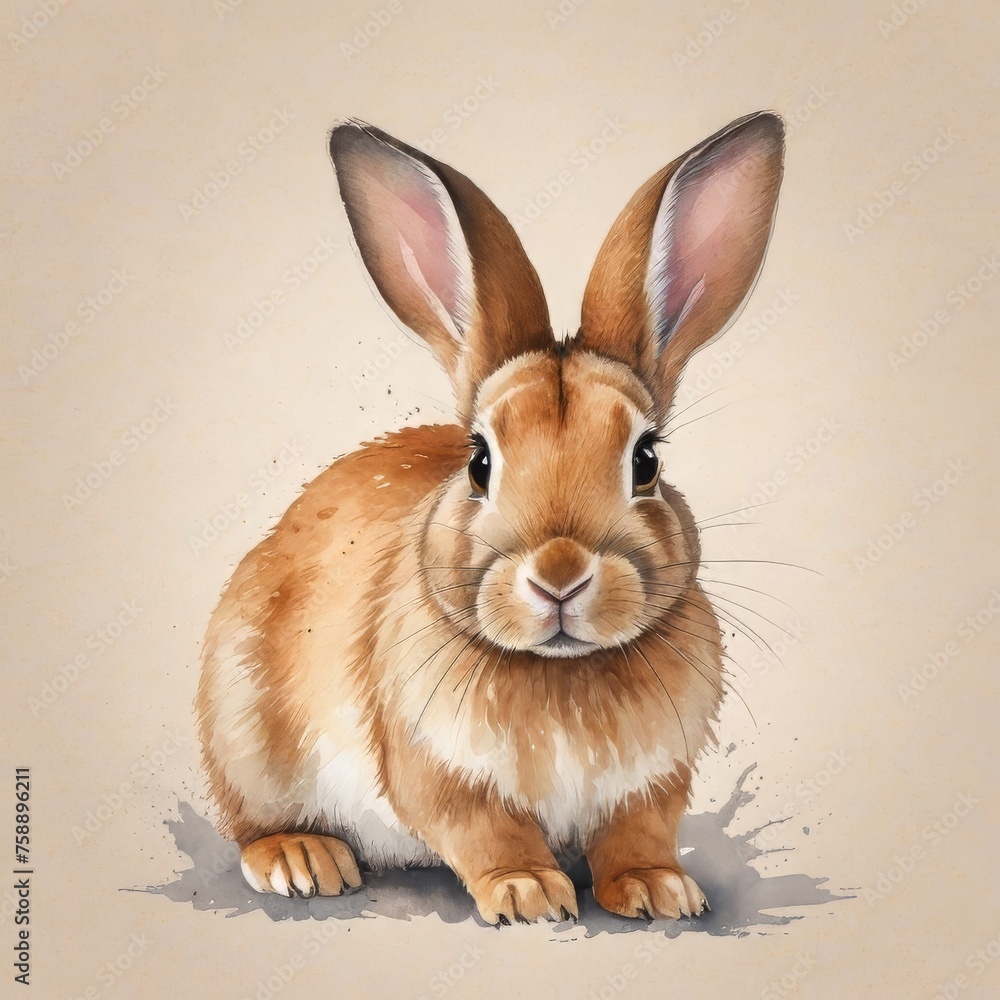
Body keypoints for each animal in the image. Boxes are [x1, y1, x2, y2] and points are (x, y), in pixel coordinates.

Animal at [196, 110, 785, 925]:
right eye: (480, 460)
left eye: (646, 460)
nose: (560, 574)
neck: (562, 672)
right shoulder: (440, 771)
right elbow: (483, 828)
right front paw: (528, 893)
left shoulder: (651, 783)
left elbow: (637, 834)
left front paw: (659, 890)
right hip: (245, 726)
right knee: (251, 820)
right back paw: (302, 860)